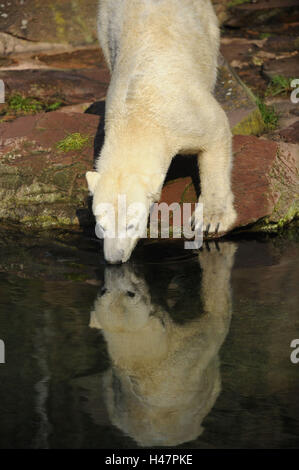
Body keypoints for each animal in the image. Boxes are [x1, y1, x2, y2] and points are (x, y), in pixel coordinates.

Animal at [86, 0, 237, 264]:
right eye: (101, 226)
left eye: (131, 225)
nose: (115, 258)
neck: (136, 116)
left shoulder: (184, 112)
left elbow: (216, 132)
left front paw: (212, 219)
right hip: (105, 22)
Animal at [89, 244, 237, 446]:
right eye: (131, 293)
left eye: (103, 291)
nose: (116, 271)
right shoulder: (187, 356)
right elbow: (215, 323)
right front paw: (216, 256)